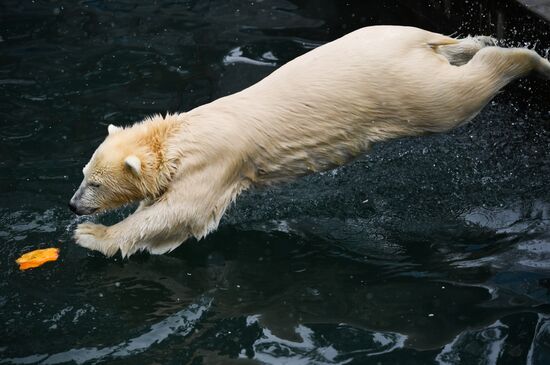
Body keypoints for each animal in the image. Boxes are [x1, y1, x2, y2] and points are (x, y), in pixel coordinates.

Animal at [70, 25, 550, 256]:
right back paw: (478, 39)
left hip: (410, 92)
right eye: (83, 173)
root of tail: (415, 42)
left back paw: (531, 58)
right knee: (454, 54)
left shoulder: (212, 162)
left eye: (94, 182)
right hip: (393, 40)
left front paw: (92, 235)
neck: (177, 135)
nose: (73, 205)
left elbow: (180, 213)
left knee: (458, 95)